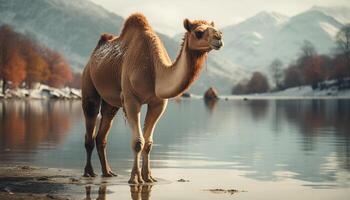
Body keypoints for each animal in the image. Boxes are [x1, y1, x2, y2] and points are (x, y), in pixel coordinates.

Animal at [81, 13, 223, 184]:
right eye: (199, 32)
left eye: (216, 29)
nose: (219, 37)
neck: (154, 71)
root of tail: (93, 56)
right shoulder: (131, 99)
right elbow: (138, 142)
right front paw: (135, 178)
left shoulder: (158, 103)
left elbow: (148, 143)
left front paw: (148, 177)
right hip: (88, 83)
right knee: (90, 123)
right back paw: (89, 172)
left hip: (111, 103)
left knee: (102, 133)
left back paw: (108, 172)